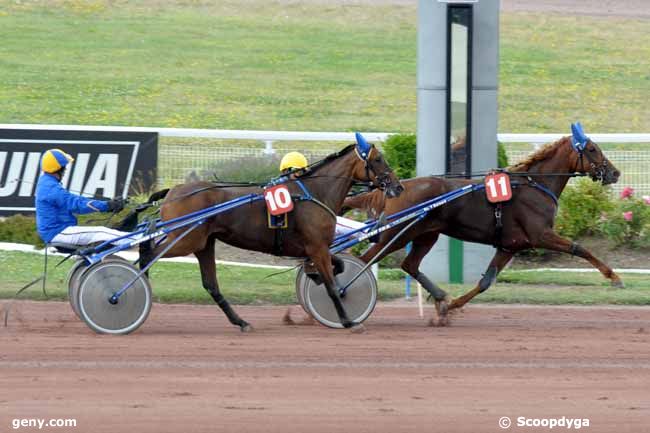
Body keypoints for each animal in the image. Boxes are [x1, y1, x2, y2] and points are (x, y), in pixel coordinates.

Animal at [141, 140, 400, 332]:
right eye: (378, 159)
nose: (397, 186)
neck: (315, 192)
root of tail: (173, 191)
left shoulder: (316, 248)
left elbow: (338, 267)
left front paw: (314, 276)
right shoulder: (317, 247)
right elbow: (333, 286)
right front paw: (348, 321)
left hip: (203, 244)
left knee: (211, 285)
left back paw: (241, 322)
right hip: (186, 239)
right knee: (148, 255)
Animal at [340, 125, 616, 324]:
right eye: (592, 149)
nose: (615, 173)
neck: (535, 185)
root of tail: (396, 188)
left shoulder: (510, 246)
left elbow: (485, 282)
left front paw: (449, 307)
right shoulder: (540, 235)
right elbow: (580, 248)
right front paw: (613, 277)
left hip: (425, 234)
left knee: (409, 264)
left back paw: (440, 297)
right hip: (396, 234)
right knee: (364, 261)